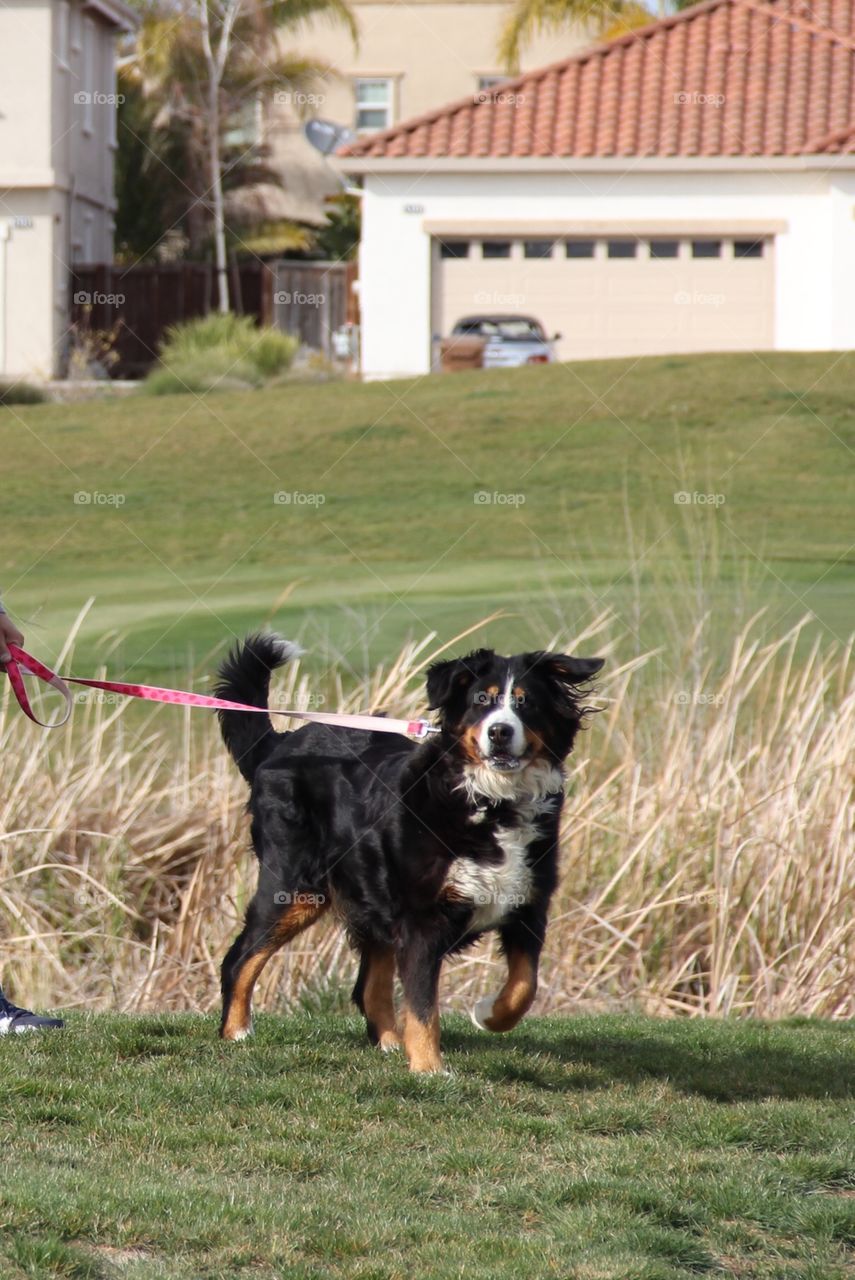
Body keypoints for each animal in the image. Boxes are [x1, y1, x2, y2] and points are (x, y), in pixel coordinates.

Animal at [215, 637, 601, 1070]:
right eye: (481, 700)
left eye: (526, 702)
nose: (500, 732)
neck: (493, 803)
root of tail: (282, 743)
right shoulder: (421, 921)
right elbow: (422, 1006)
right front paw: (429, 1069)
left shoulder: (528, 907)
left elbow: (523, 986)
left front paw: (487, 1014)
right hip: (296, 888)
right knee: (240, 959)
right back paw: (236, 1032)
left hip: (373, 899)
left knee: (368, 986)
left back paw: (388, 1042)